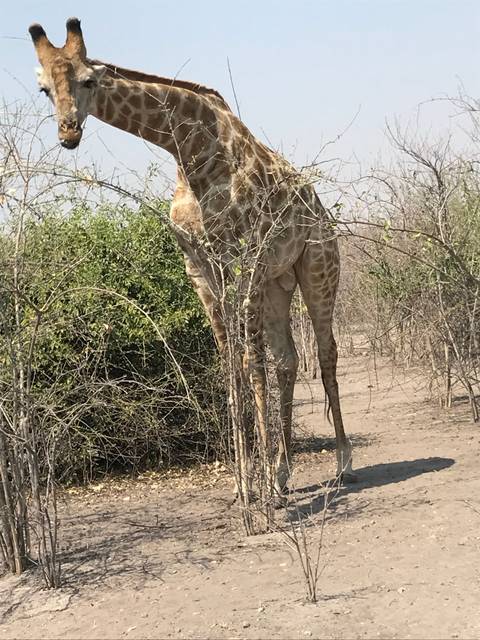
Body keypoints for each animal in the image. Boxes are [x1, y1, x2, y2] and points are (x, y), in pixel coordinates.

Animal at [28, 17, 354, 496]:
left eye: (88, 80)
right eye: (44, 89)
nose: (68, 133)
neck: (190, 148)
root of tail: (322, 211)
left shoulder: (246, 259)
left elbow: (251, 363)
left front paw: (260, 490)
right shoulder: (200, 268)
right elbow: (230, 366)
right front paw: (245, 484)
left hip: (317, 267)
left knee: (326, 351)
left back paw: (343, 462)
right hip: (278, 282)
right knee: (289, 360)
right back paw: (283, 471)